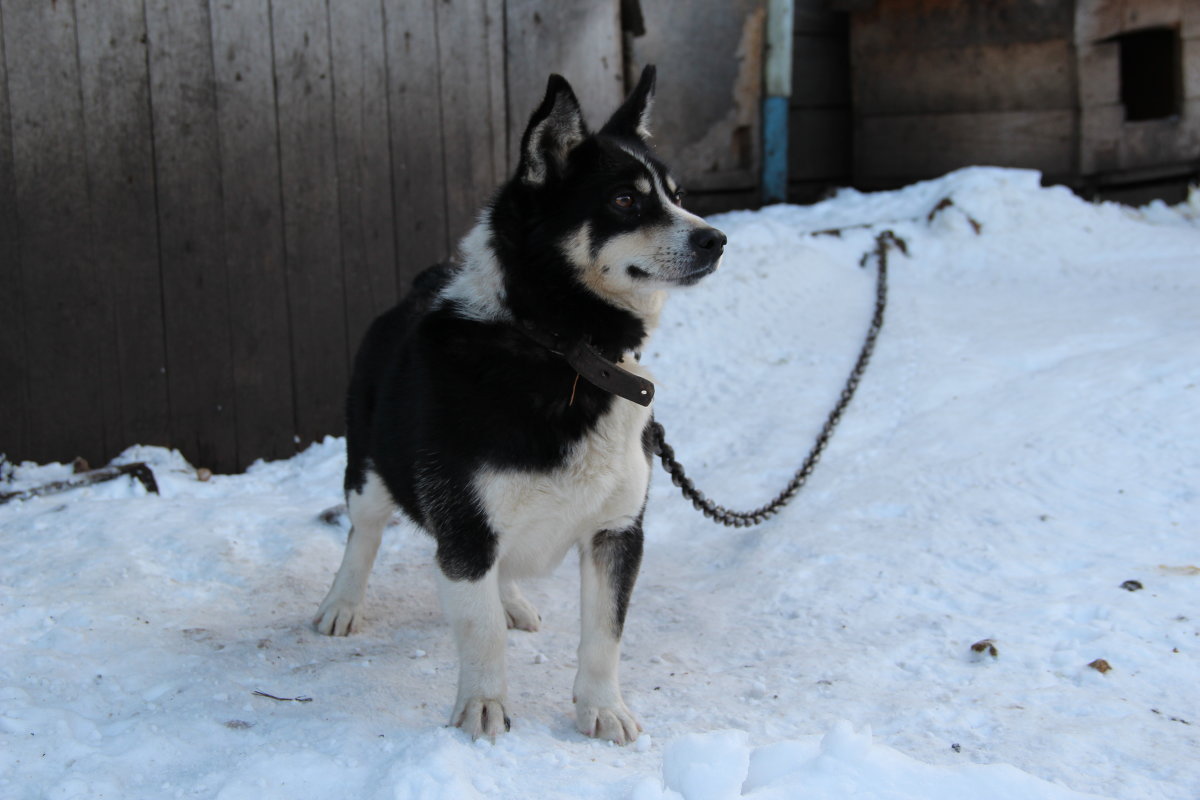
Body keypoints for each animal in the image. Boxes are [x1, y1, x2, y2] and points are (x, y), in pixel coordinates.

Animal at [312, 67, 720, 743]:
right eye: (625, 201)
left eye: (676, 194)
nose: (717, 239)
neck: (564, 350)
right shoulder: (466, 525)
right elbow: (479, 636)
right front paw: (482, 708)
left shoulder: (616, 530)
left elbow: (604, 637)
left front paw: (602, 708)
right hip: (367, 471)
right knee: (362, 536)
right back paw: (341, 604)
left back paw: (508, 600)